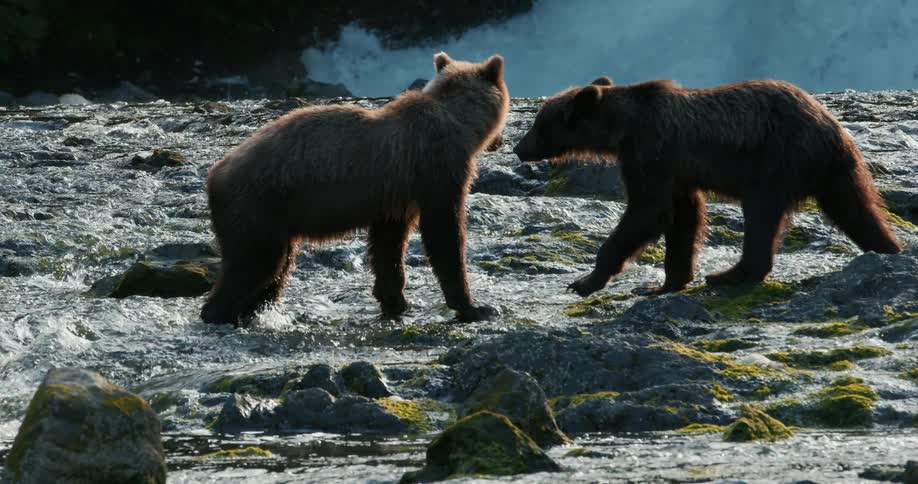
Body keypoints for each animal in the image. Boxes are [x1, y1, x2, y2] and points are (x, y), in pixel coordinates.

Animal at [201, 52, 509, 326]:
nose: (500, 142)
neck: (460, 123)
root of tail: (214, 175)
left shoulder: (395, 195)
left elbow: (388, 245)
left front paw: (395, 300)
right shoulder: (436, 168)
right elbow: (443, 233)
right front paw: (474, 306)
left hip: (275, 221)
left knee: (276, 269)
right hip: (257, 206)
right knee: (255, 264)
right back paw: (219, 313)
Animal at [513, 76, 902, 297]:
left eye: (540, 124)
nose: (519, 148)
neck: (624, 129)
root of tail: (831, 129)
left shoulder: (651, 151)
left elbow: (647, 210)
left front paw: (585, 281)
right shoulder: (676, 170)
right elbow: (683, 217)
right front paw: (665, 282)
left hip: (776, 159)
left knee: (760, 216)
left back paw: (730, 274)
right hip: (835, 173)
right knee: (857, 210)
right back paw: (889, 247)